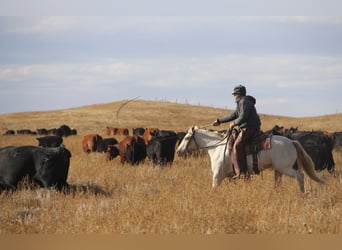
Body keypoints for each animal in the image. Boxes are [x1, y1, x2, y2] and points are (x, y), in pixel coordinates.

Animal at [178, 126, 324, 192]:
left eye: (187, 137)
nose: (178, 151)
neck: (217, 147)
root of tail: (292, 142)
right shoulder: (231, 177)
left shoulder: (217, 176)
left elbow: (214, 189)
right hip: (279, 170)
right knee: (278, 182)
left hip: (286, 168)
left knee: (300, 176)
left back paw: (302, 194)